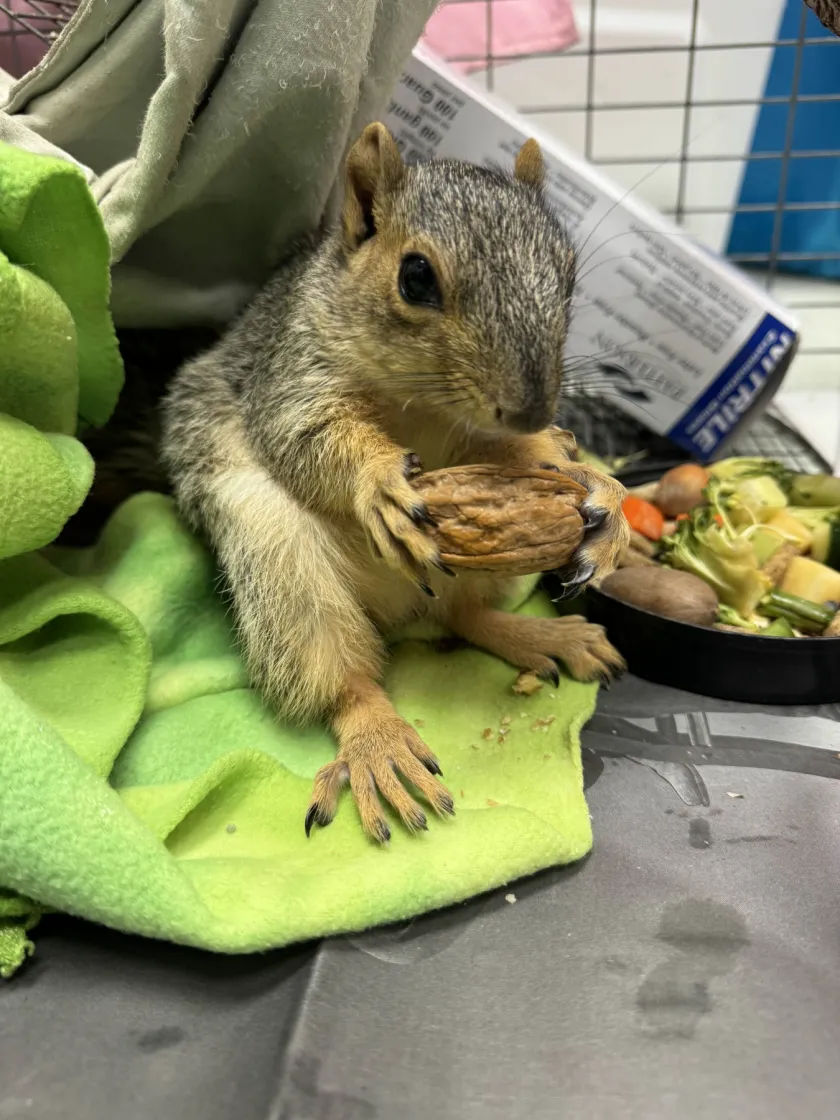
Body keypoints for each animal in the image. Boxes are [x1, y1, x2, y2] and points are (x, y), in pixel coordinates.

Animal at [161, 123, 629, 844]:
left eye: (569, 272)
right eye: (415, 277)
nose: (532, 408)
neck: (423, 405)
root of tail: (399, 610)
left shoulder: (483, 451)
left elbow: (523, 459)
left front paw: (597, 491)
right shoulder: (289, 374)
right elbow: (303, 438)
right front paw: (379, 483)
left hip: (486, 563)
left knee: (464, 615)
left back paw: (543, 636)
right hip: (276, 556)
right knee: (340, 673)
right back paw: (378, 741)